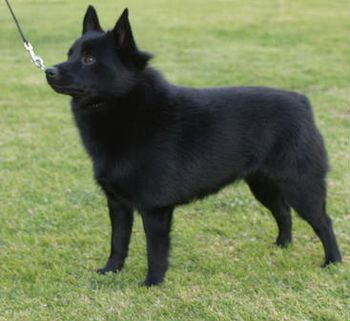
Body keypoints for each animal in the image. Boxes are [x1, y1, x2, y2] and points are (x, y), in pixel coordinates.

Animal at [45, 5, 342, 284]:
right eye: (70, 54)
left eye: (89, 59)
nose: (49, 71)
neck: (127, 105)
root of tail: (301, 102)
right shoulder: (118, 204)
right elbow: (118, 242)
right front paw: (110, 271)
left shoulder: (155, 210)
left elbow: (155, 252)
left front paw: (152, 283)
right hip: (263, 185)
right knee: (283, 212)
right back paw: (282, 245)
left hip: (300, 187)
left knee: (324, 222)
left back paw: (333, 262)